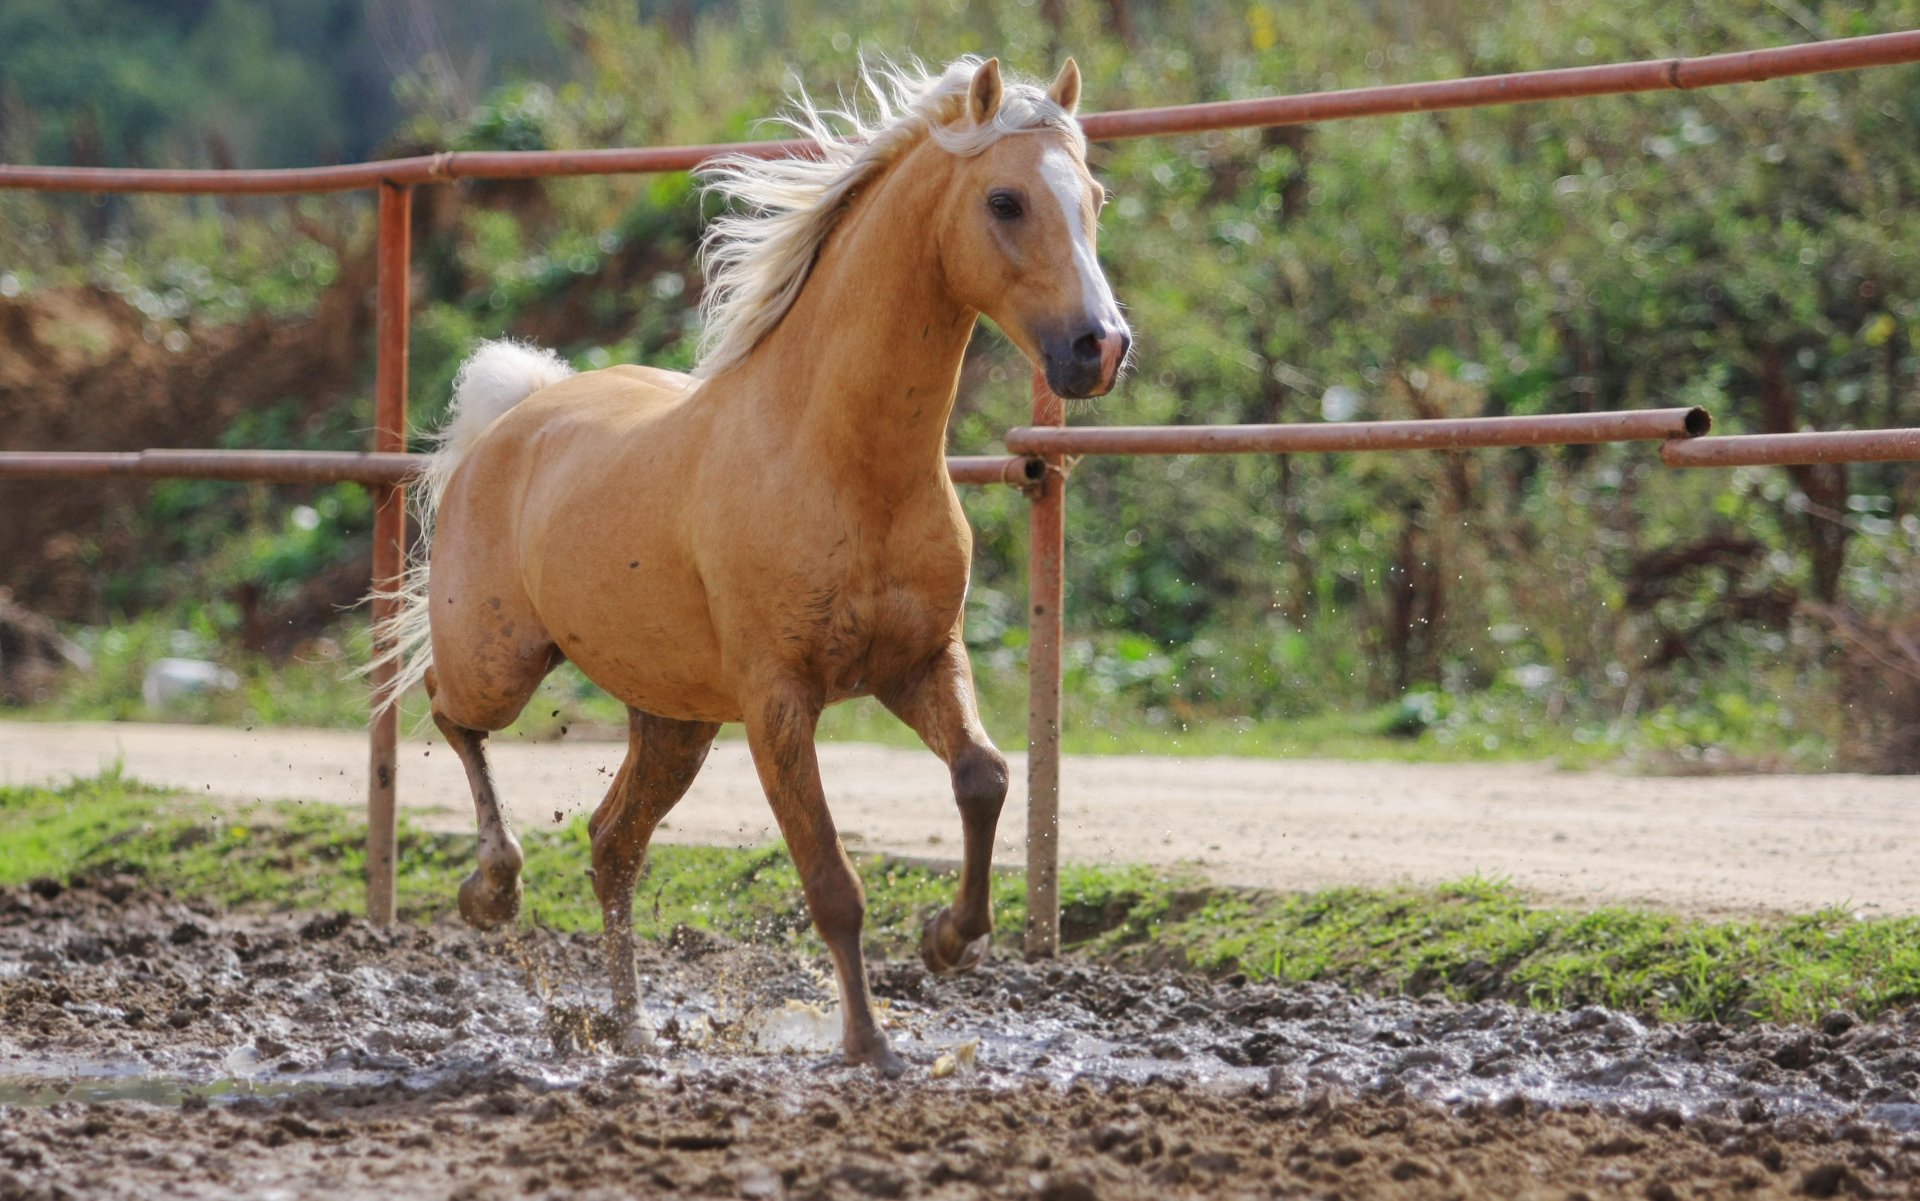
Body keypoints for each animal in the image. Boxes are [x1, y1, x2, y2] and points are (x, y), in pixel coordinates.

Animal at [372, 56, 1121, 1074]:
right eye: (1005, 200)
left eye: (1093, 198)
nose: (1100, 347)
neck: (843, 461)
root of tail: (517, 412)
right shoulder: (778, 702)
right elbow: (832, 880)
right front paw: (868, 1044)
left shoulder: (922, 661)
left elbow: (987, 775)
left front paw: (948, 939)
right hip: (501, 661)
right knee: (452, 713)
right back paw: (494, 888)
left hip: (675, 719)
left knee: (612, 844)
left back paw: (633, 1030)